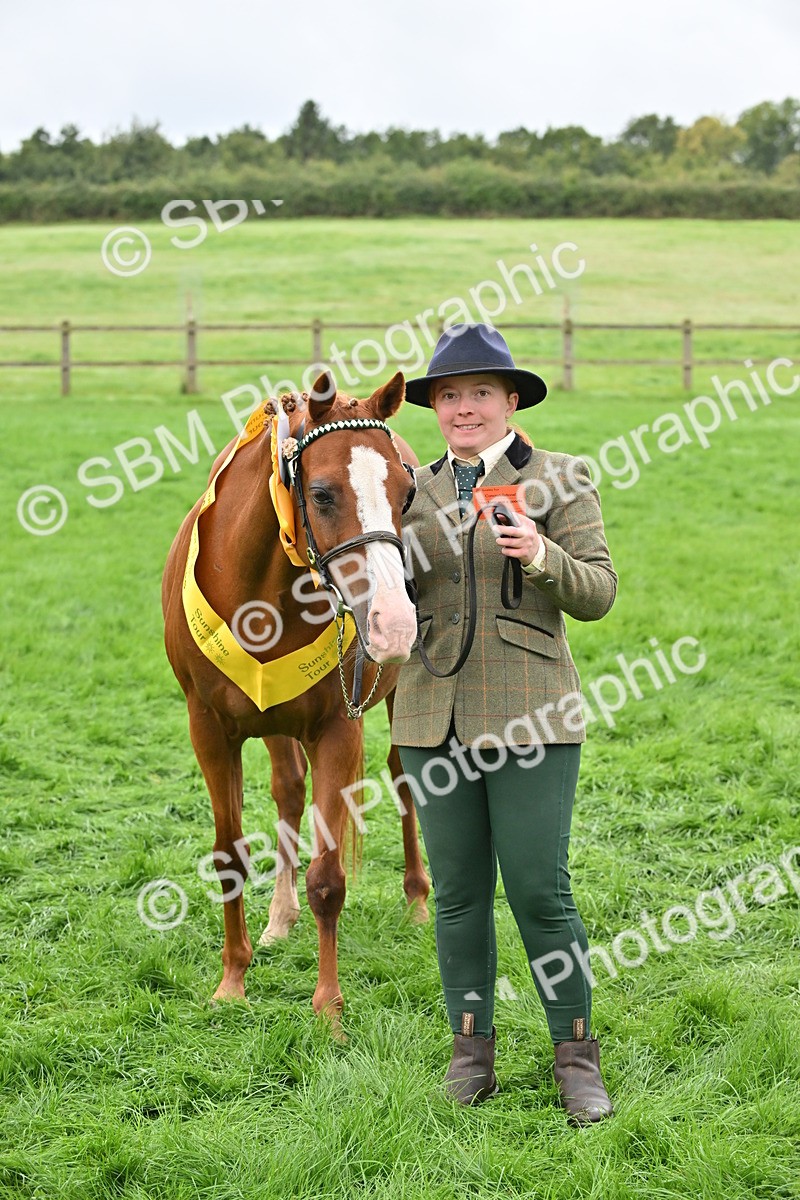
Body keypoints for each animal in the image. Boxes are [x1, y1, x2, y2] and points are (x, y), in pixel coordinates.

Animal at [161, 370, 430, 1024]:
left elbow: (328, 877)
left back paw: (416, 900)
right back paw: (279, 919)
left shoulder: (337, 728)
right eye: (324, 494)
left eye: (403, 492)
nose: (394, 623)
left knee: (402, 776)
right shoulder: (209, 729)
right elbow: (230, 856)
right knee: (288, 790)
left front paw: (328, 1006)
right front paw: (232, 980)